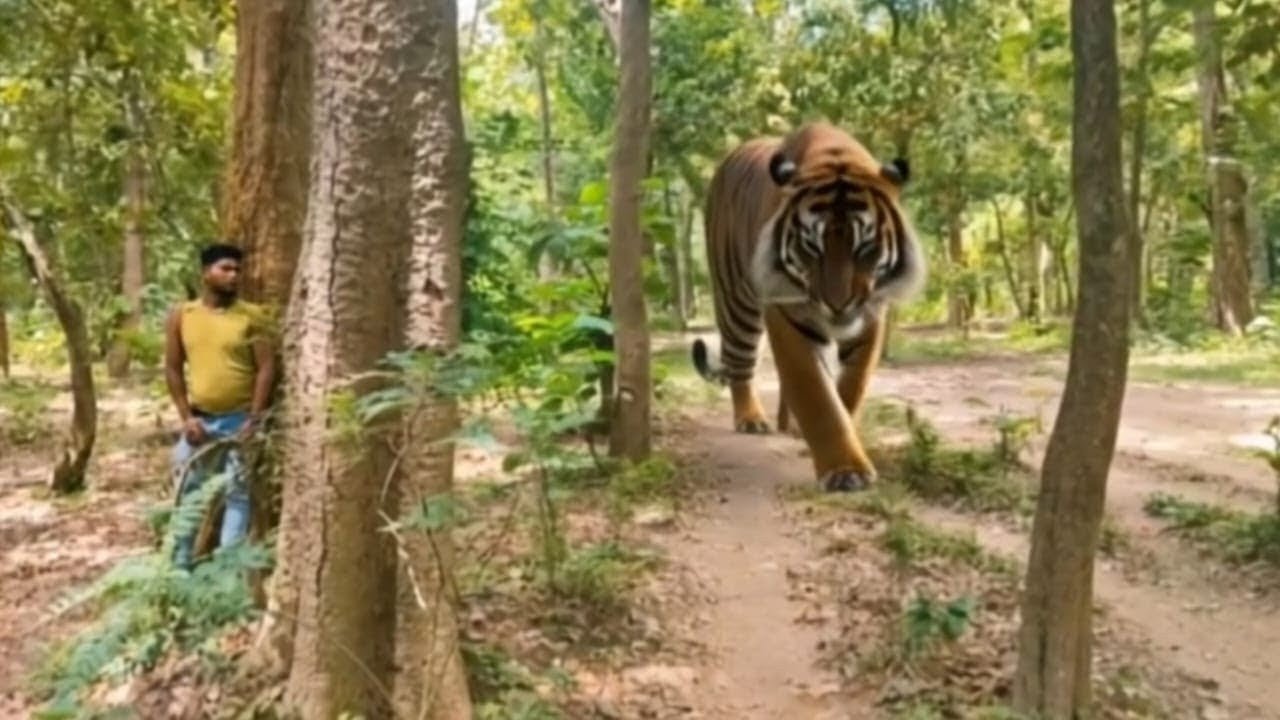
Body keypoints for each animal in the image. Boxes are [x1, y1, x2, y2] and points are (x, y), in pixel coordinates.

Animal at [691, 122, 925, 492]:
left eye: (866, 247)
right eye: (811, 246)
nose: (838, 304)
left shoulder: (872, 317)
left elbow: (849, 388)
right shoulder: (788, 316)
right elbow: (816, 394)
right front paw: (845, 471)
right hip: (736, 299)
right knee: (740, 362)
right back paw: (751, 418)